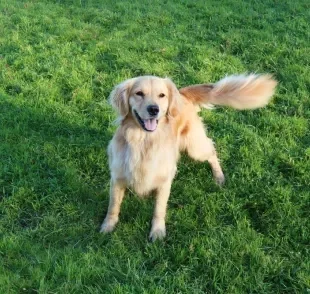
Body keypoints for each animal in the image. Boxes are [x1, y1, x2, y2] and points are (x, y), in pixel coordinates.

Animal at [99, 73, 276, 241]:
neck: (144, 142)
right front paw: (108, 225)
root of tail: (182, 93)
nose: (154, 109)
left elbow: (159, 209)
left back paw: (218, 176)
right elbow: (113, 206)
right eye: (139, 93)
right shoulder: (117, 178)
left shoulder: (164, 181)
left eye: (161, 95)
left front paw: (157, 231)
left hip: (195, 147)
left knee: (212, 150)